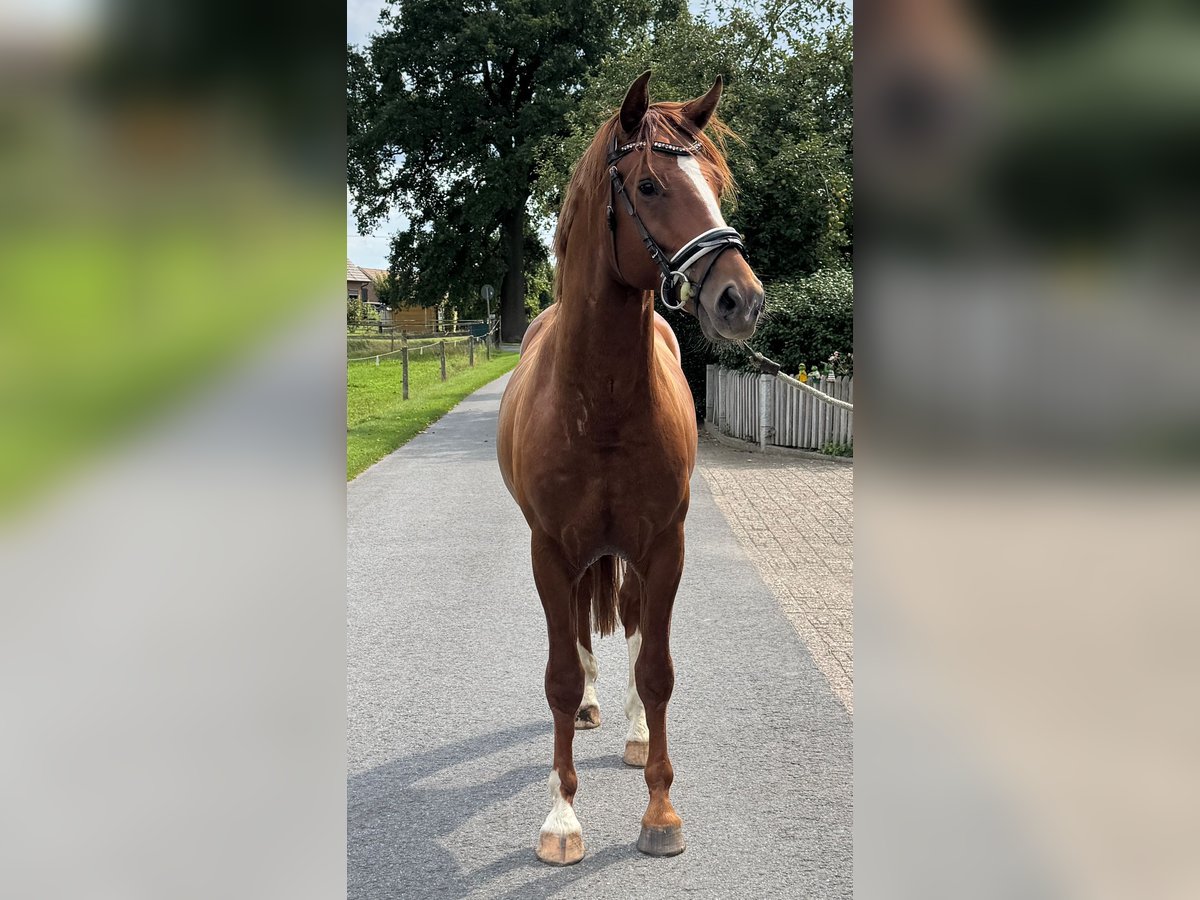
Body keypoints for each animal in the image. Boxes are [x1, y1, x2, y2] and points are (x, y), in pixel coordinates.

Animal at [496, 70, 763, 865]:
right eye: (648, 185)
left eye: (715, 181)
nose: (742, 300)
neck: (603, 403)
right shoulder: (550, 552)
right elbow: (558, 674)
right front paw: (561, 818)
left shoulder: (665, 546)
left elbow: (658, 670)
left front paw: (661, 810)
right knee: (582, 637)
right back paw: (590, 707)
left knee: (639, 632)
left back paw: (635, 732)